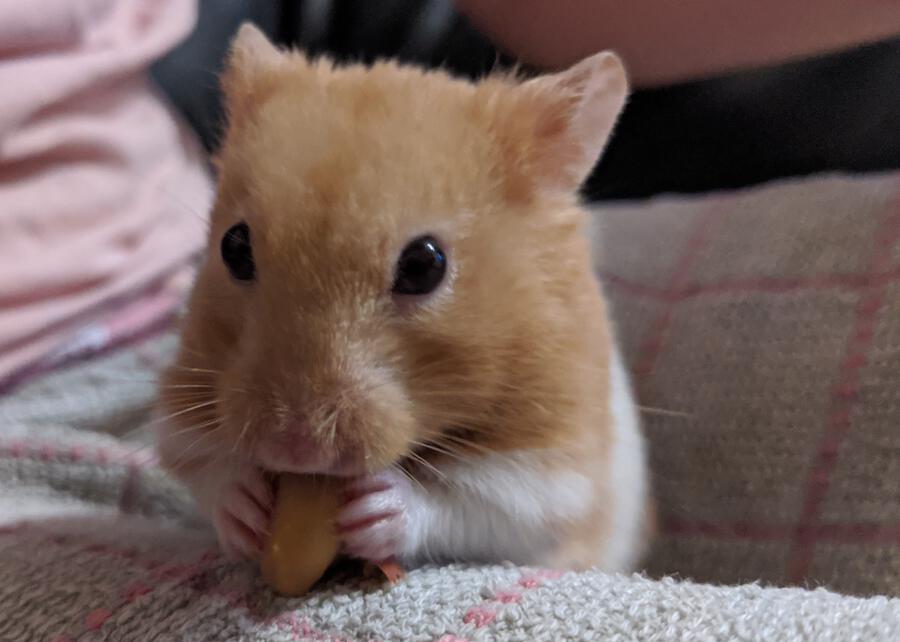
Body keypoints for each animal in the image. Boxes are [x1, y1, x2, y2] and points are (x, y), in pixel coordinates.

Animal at [156, 23, 652, 572]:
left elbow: (470, 504)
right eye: (234, 247)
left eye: (423, 266)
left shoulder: (552, 475)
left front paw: (380, 508)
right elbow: (204, 467)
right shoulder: (183, 415)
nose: (294, 450)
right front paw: (245, 505)